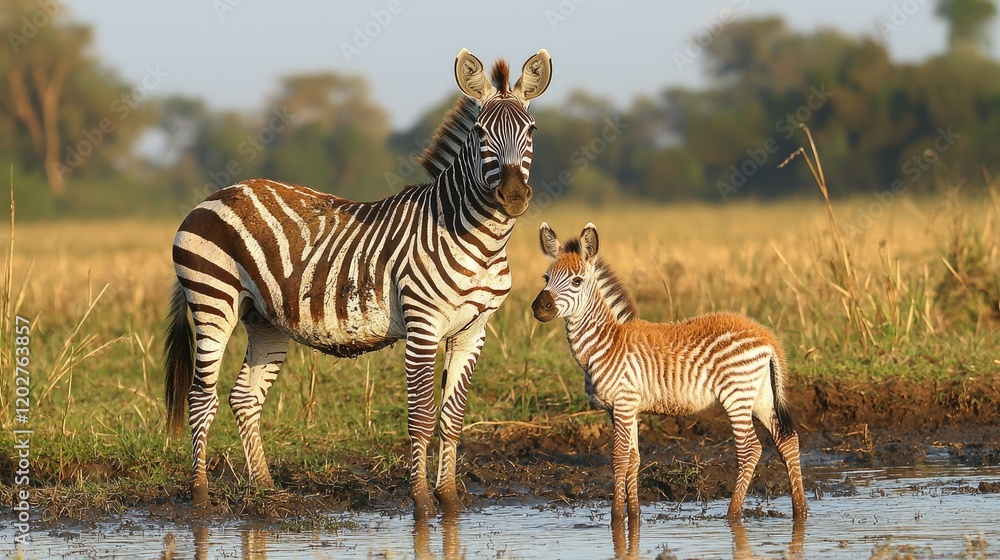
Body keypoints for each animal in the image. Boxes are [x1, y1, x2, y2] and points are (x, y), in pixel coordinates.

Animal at [163, 48, 552, 520]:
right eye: (480, 133)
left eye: (531, 130)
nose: (513, 196)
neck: (480, 242)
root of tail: (213, 196)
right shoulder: (423, 325)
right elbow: (421, 417)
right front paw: (422, 502)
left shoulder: (472, 331)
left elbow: (452, 417)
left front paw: (450, 500)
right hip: (212, 301)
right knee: (202, 398)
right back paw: (201, 497)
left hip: (264, 319)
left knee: (244, 398)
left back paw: (266, 488)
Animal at [530, 222, 807, 535]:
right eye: (546, 277)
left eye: (577, 281)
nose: (539, 307)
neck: (606, 342)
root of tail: (766, 335)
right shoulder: (623, 409)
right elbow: (634, 459)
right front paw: (634, 517)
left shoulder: (623, 403)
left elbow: (619, 458)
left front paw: (616, 519)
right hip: (759, 396)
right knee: (787, 440)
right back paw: (800, 511)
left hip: (736, 395)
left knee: (750, 449)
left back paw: (733, 514)